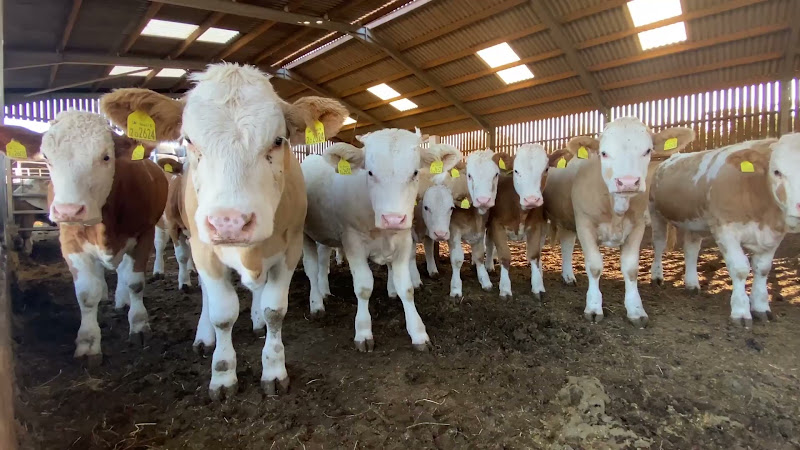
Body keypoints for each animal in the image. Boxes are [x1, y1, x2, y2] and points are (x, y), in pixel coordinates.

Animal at [0, 114, 168, 367]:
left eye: (106, 156)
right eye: (46, 158)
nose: (68, 210)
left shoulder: (144, 233)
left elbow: (135, 282)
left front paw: (139, 325)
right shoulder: (70, 242)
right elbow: (87, 294)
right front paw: (88, 343)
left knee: (123, 271)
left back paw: (123, 299)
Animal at [303, 129, 448, 352]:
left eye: (415, 172)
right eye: (370, 173)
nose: (393, 218)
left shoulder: (403, 241)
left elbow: (406, 288)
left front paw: (418, 332)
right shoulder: (352, 241)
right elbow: (363, 288)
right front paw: (363, 332)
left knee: (322, 260)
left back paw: (325, 290)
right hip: (305, 234)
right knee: (311, 269)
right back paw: (317, 304)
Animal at [485, 145, 570, 299]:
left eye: (546, 169)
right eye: (516, 170)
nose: (531, 199)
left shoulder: (536, 226)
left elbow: (534, 255)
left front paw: (538, 286)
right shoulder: (496, 225)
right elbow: (505, 256)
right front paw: (505, 288)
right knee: (489, 242)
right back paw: (489, 264)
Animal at [543, 117, 694, 327]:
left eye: (648, 150)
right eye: (604, 153)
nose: (628, 182)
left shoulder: (637, 227)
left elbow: (631, 269)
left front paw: (636, 310)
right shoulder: (584, 224)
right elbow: (594, 266)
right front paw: (593, 308)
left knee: (566, 244)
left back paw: (568, 276)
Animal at [649, 134, 800, 327]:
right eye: (777, 171)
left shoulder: (774, 234)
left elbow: (763, 269)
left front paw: (761, 307)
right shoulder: (725, 229)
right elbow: (740, 268)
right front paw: (741, 311)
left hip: (693, 222)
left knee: (691, 249)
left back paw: (691, 284)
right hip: (656, 213)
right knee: (659, 244)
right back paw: (657, 276)